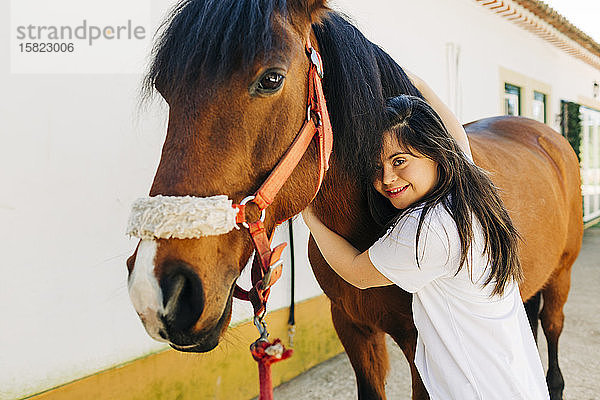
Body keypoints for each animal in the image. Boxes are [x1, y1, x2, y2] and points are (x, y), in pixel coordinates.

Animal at [125, 1, 580, 398]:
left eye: (271, 79)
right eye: (166, 89)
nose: (157, 290)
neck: (371, 222)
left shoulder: (421, 350)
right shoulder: (352, 328)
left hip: (561, 276)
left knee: (552, 339)